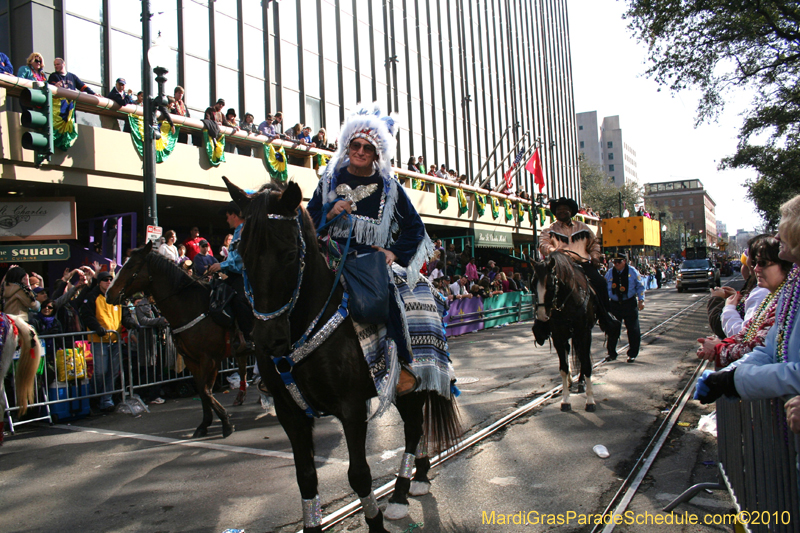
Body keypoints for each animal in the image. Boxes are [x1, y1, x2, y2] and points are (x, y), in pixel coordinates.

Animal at [105, 243, 250, 438]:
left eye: (131, 266)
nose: (108, 294)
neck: (191, 305)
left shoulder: (210, 359)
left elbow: (206, 391)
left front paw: (226, 423)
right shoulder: (192, 360)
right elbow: (202, 391)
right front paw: (204, 424)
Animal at [225, 179, 462, 532]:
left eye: (291, 254)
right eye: (241, 254)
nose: (268, 341)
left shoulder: (351, 407)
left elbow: (360, 475)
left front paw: (376, 523)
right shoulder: (289, 412)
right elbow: (306, 478)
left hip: (417, 382)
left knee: (413, 429)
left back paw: (401, 493)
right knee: (416, 428)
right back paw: (417, 477)